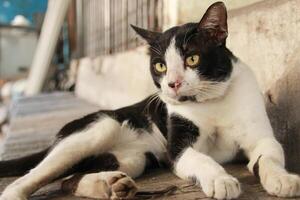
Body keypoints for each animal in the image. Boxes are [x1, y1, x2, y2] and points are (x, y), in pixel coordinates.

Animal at [0, 1, 300, 200]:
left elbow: (269, 156)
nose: (172, 84)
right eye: (160, 66)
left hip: (133, 159)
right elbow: (202, 160)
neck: (212, 101)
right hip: (98, 129)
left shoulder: (262, 137)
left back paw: (110, 185)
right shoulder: (177, 149)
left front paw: (283, 180)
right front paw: (221, 179)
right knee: (30, 177)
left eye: (192, 59)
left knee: (69, 180)